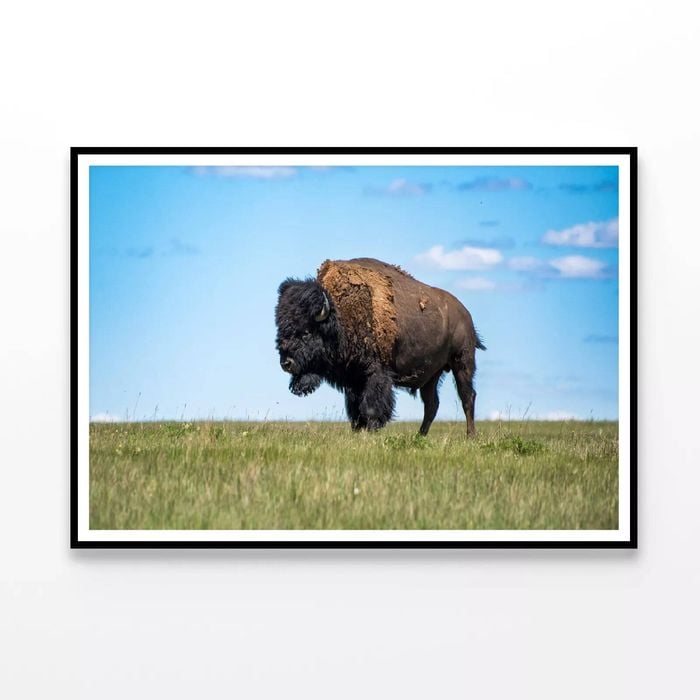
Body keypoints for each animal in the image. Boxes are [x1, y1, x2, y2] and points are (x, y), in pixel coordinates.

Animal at [275, 258, 485, 436]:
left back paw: (470, 436)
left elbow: (371, 407)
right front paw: (358, 432)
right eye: (281, 329)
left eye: (306, 332)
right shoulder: (354, 379)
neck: (341, 316)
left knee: (467, 397)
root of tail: (466, 314)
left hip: (462, 362)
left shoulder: (376, 374)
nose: (286, 363)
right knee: (431, 404)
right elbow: (355, 411)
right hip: (432, 374)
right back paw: (420, 436)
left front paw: (372, 430)